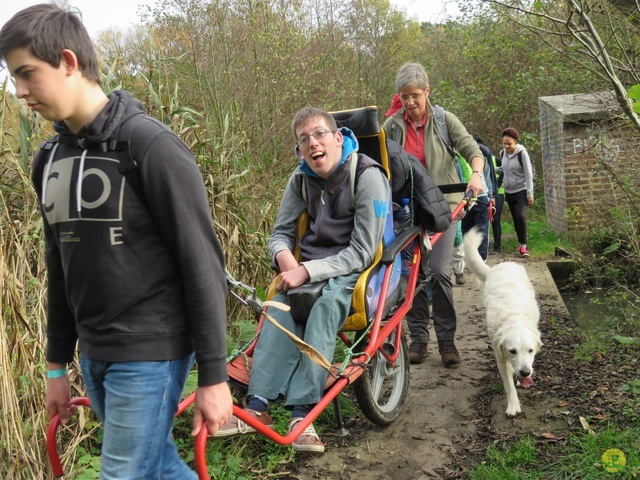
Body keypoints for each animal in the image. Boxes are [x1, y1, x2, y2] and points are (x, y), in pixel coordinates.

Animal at [462, 226, 544, 416]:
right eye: (512, 351)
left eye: (530, 350)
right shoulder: (500, 357)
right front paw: (513, 405)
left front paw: (521, 380)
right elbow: (508, 385)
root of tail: (502, 264)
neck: (514, 317)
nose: (525, 372)